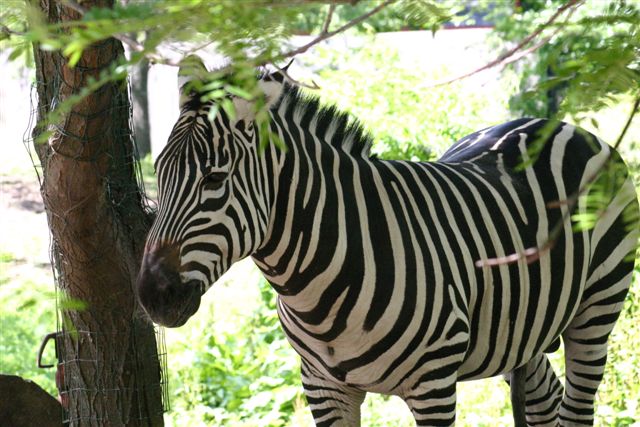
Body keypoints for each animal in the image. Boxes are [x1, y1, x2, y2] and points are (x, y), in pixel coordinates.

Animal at [136, 58, 639, 426]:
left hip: (597, 307)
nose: (152, 296)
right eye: (158, 173)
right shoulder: (323, 387)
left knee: (577, 407)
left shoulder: (434, 385)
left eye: (214, 179)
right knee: (543, 399)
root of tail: (559, 124)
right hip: (523, 327)